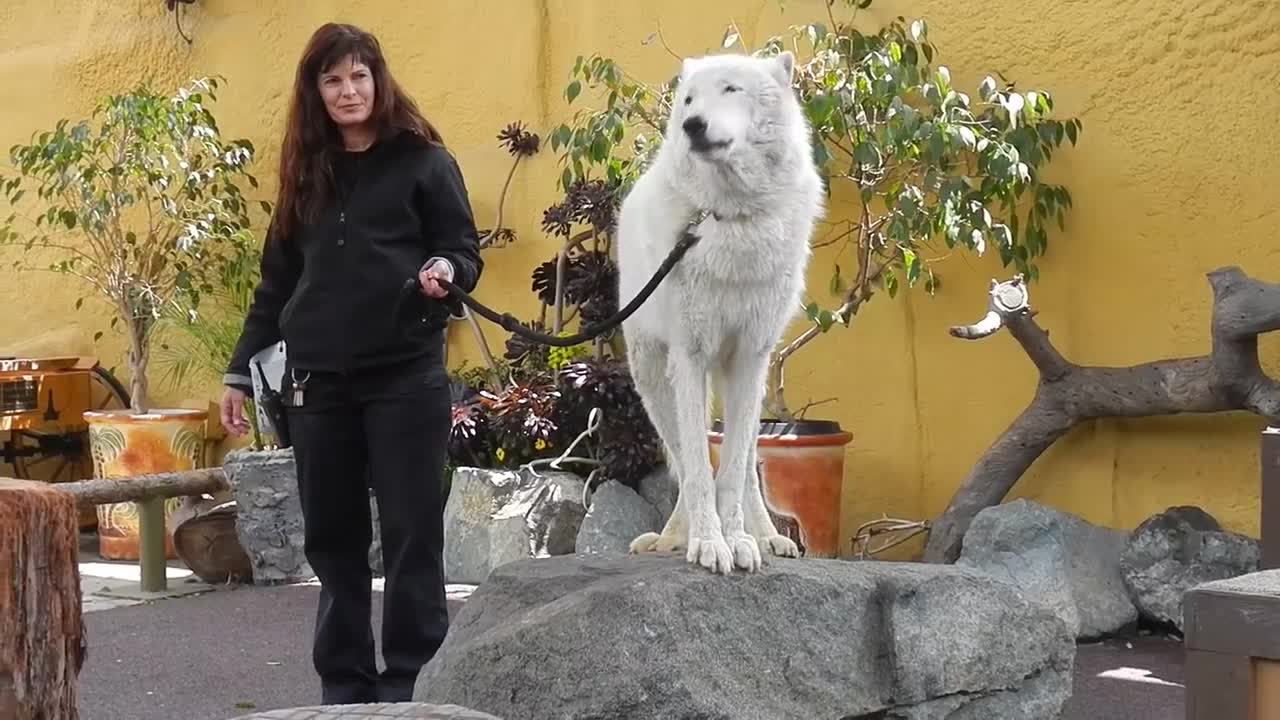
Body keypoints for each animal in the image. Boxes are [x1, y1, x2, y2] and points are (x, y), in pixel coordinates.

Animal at [614, 50, 824, 571]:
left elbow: (729, 474)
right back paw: (675, 536)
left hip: (744, 380)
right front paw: (708, 543)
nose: (692, 125)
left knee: (745, 464)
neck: (732, 218)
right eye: (689, 99)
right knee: (683, 462)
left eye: (731, 89)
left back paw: (767, 537)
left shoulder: (749, 358)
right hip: (654, 380)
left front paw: (741, 541)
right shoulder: (690, 357)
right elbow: (697, 470)